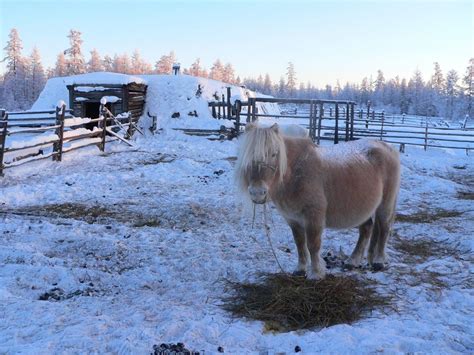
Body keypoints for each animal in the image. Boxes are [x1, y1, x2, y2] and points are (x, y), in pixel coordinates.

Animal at [234, 124, 400, 280]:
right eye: (246, 156)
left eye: (274, 153)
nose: (257, 192)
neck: (295, 172)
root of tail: (387, 147)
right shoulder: (293, 219)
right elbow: (299, 243)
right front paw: (300, 269)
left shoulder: (313, 216)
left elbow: (313, 244)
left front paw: (315, 274)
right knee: (367, 229)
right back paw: (353, 261)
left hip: (385, 204)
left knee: (384, 227)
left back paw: (378, 261)